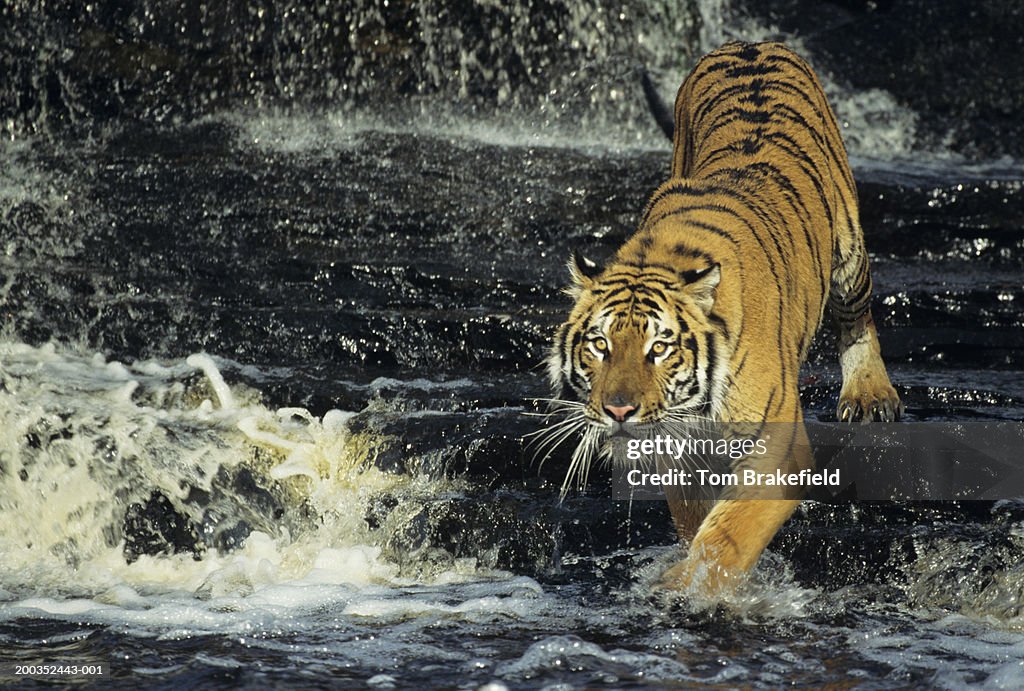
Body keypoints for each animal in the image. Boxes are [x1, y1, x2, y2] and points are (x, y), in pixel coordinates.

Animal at [540, 40, 901, 597]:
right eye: (599, 345)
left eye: (660, 348)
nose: (619, 410)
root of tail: (750, 44)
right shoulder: (676, 451)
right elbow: (697, 518)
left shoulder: (778, 447)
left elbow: (731, 530)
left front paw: (694, 585)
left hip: (848, 252)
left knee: (857, 318)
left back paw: (869, 395)